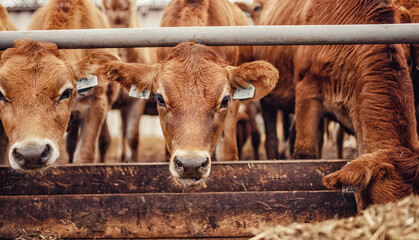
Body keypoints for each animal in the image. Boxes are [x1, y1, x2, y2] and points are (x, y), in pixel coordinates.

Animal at [0, 0, 120, 171]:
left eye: (66, 92)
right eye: (1, 94)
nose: (32, 153)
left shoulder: (97, 104)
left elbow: (84, 157)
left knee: (104, 139)